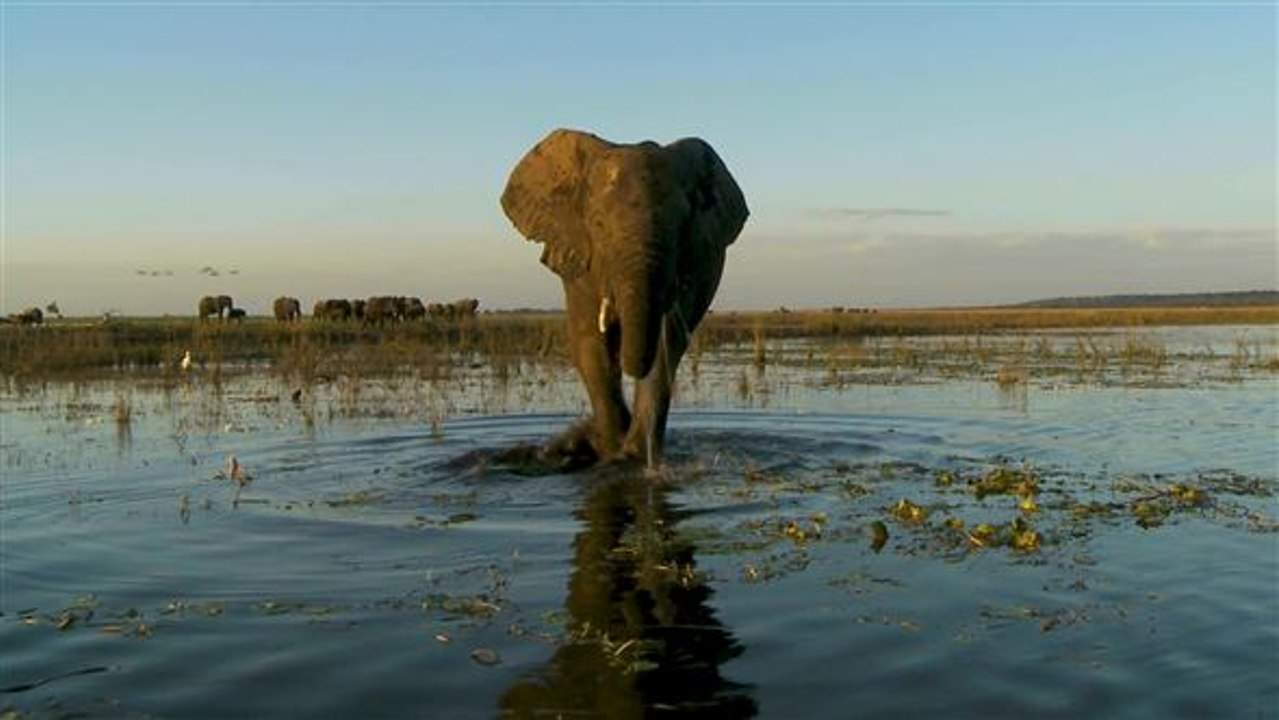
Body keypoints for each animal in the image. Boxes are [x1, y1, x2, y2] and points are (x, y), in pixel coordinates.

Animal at [501, 128, 748, 467]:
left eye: (682, 224)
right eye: (598, 225)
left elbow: (666, 348)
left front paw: (632, 456)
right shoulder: (579, 255)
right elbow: (590, 343)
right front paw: (609, 448)